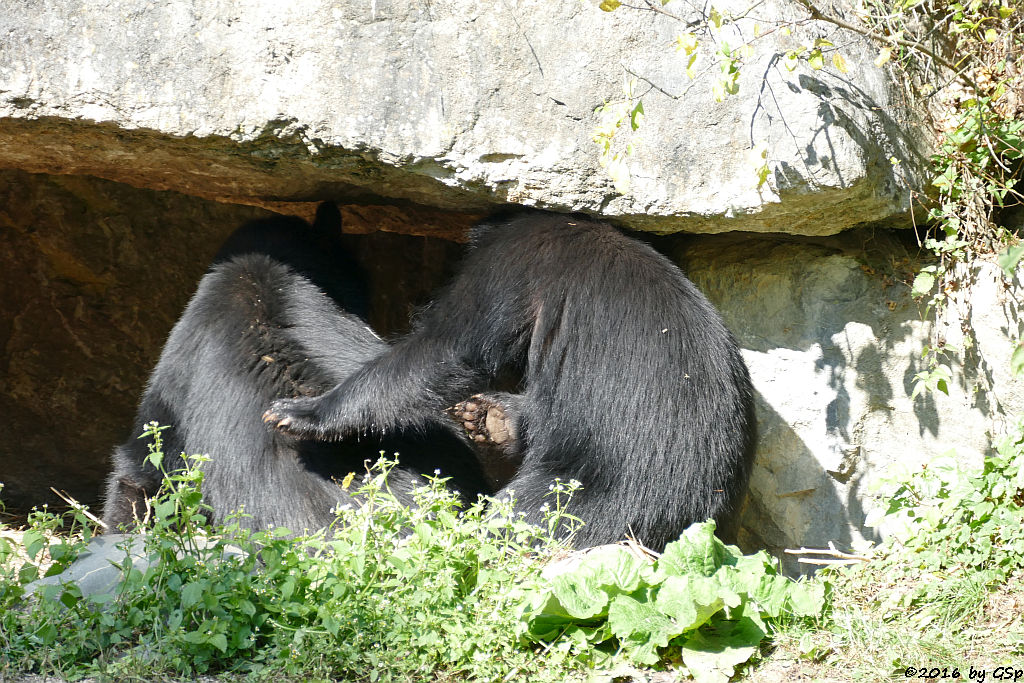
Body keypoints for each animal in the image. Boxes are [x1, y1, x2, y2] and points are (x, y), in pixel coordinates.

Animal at [264, 210, 753, 552]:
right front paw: (484, 416)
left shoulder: (512, 266)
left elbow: (450, 345)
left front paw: (296, 414)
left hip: (586, 490)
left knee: (519, 521)